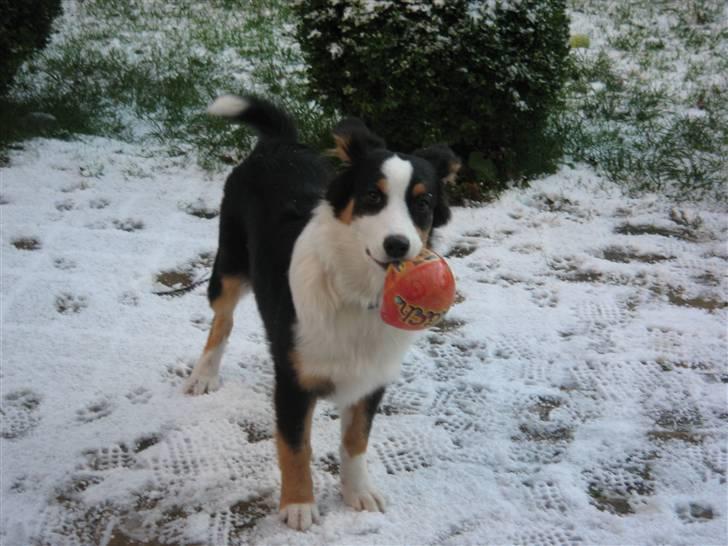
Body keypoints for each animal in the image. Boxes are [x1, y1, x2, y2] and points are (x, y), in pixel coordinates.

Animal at [185, 95, 458, 528]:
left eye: (423, 203)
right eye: (372, 197)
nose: (398, 245)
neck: (357, 292)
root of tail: (278, 144)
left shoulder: (371, 378)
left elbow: (355, 441)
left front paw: (358, 492)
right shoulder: (293, 379)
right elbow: (295, 445)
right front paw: (298, 505)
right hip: (229, 264)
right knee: (222, 320)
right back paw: (204, 375)